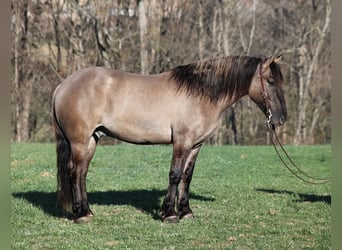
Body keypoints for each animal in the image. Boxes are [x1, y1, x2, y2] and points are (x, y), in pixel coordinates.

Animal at [51, 54, 286, 223]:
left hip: (92, 139)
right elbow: (175, 174)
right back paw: (81, 215)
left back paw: (87, 211)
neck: (200, 93)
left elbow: (187, 177)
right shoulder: (182, 141)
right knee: (75, 172)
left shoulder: (196, 145)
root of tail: (62, 86)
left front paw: (186, 211)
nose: (281, 118)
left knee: (82, 172)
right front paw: (169, 214)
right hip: (80, 141)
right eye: (270, 81)